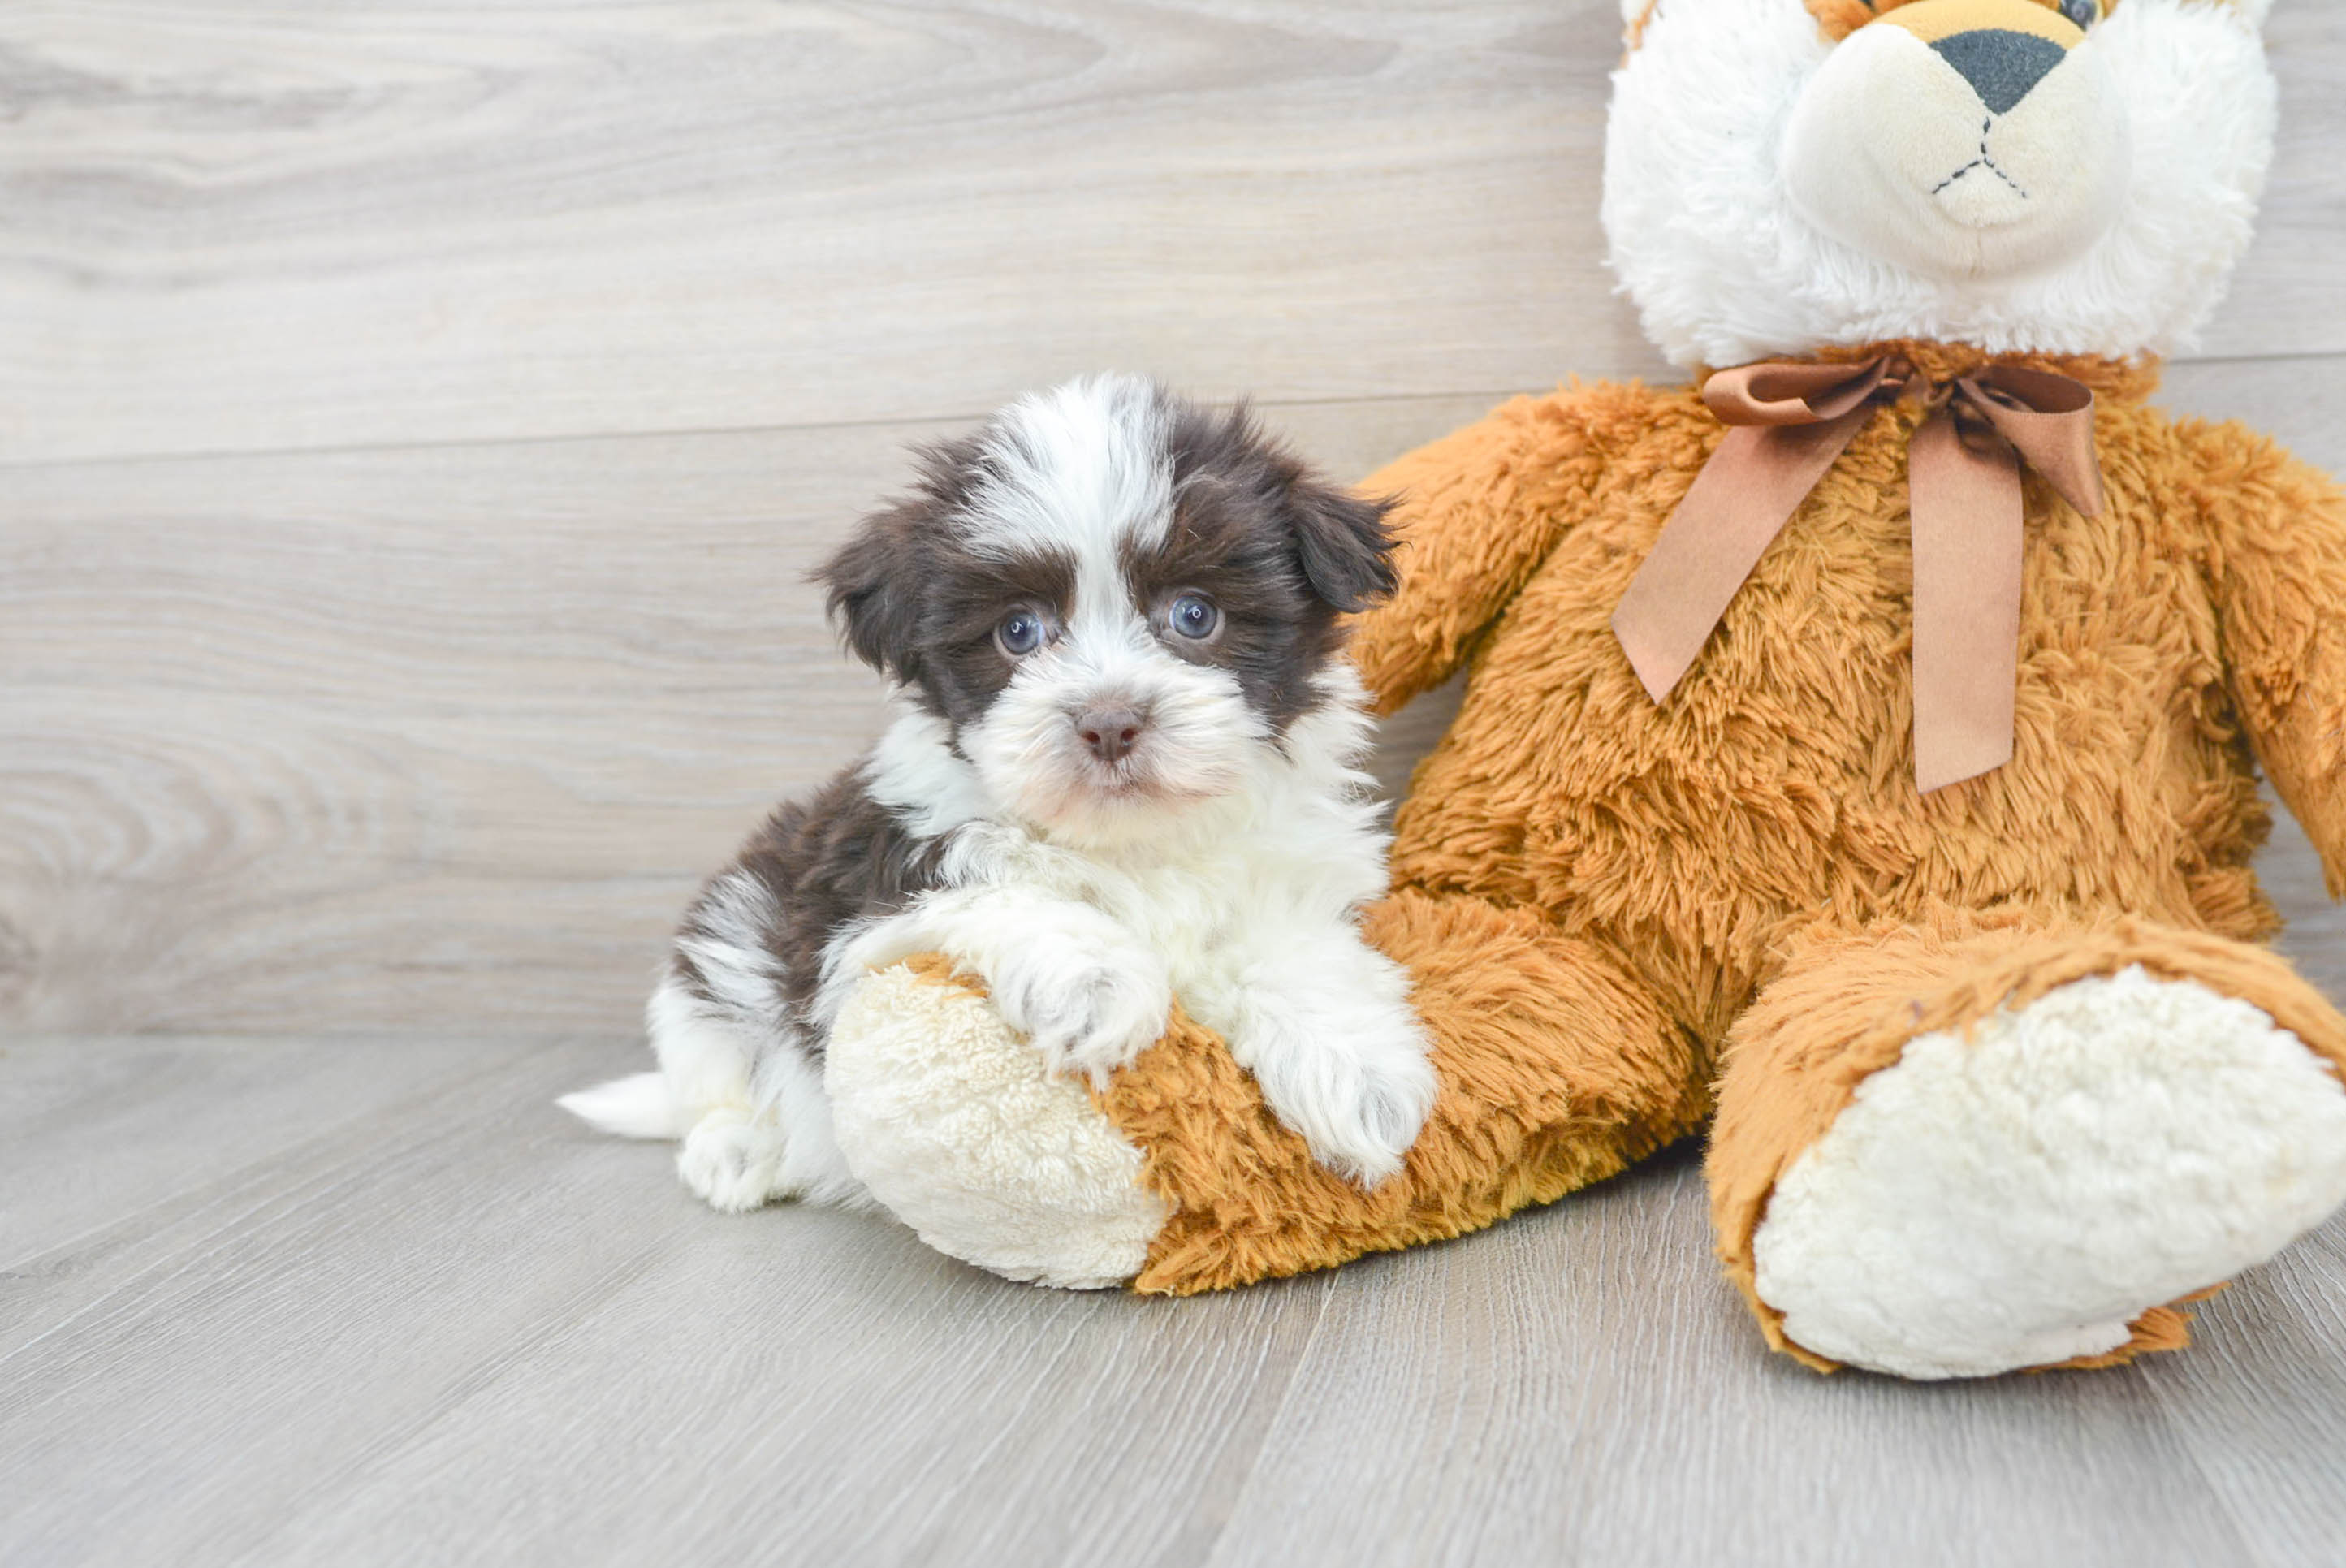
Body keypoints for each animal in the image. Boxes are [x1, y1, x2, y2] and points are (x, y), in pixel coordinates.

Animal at [560, 375, 1436, 1211]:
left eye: (1194, 614)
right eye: (1018, 630)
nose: (1109, 721)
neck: (1130, 842)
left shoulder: (1292, 870)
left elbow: (1296, 948)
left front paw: (1360, 1070)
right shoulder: (868, 899)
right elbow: (994, 888)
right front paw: (1095, 979)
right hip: (729, 937)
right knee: (715, 1068)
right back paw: (736, 1149)